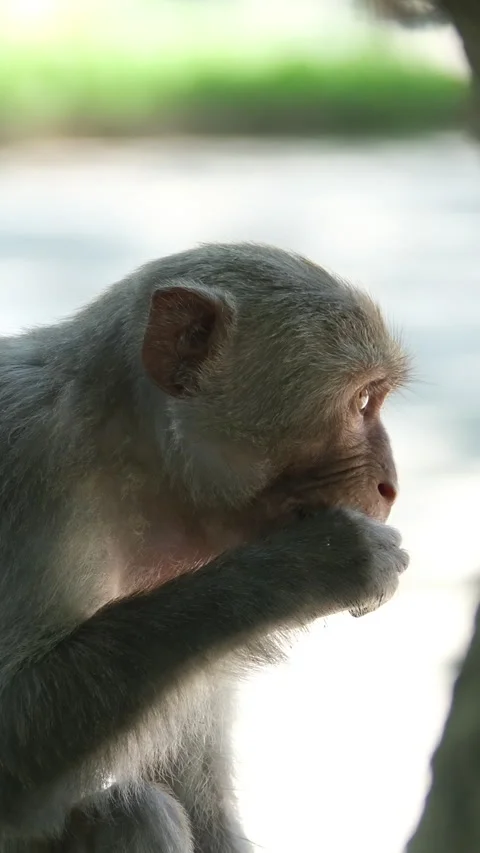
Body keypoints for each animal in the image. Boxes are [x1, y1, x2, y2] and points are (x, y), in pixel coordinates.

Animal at [0, 243, 410, 852]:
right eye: (362, 401)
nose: (391, 485)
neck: (130, 459)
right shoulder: (32, 471)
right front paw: (312, 565)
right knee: (134, 811)